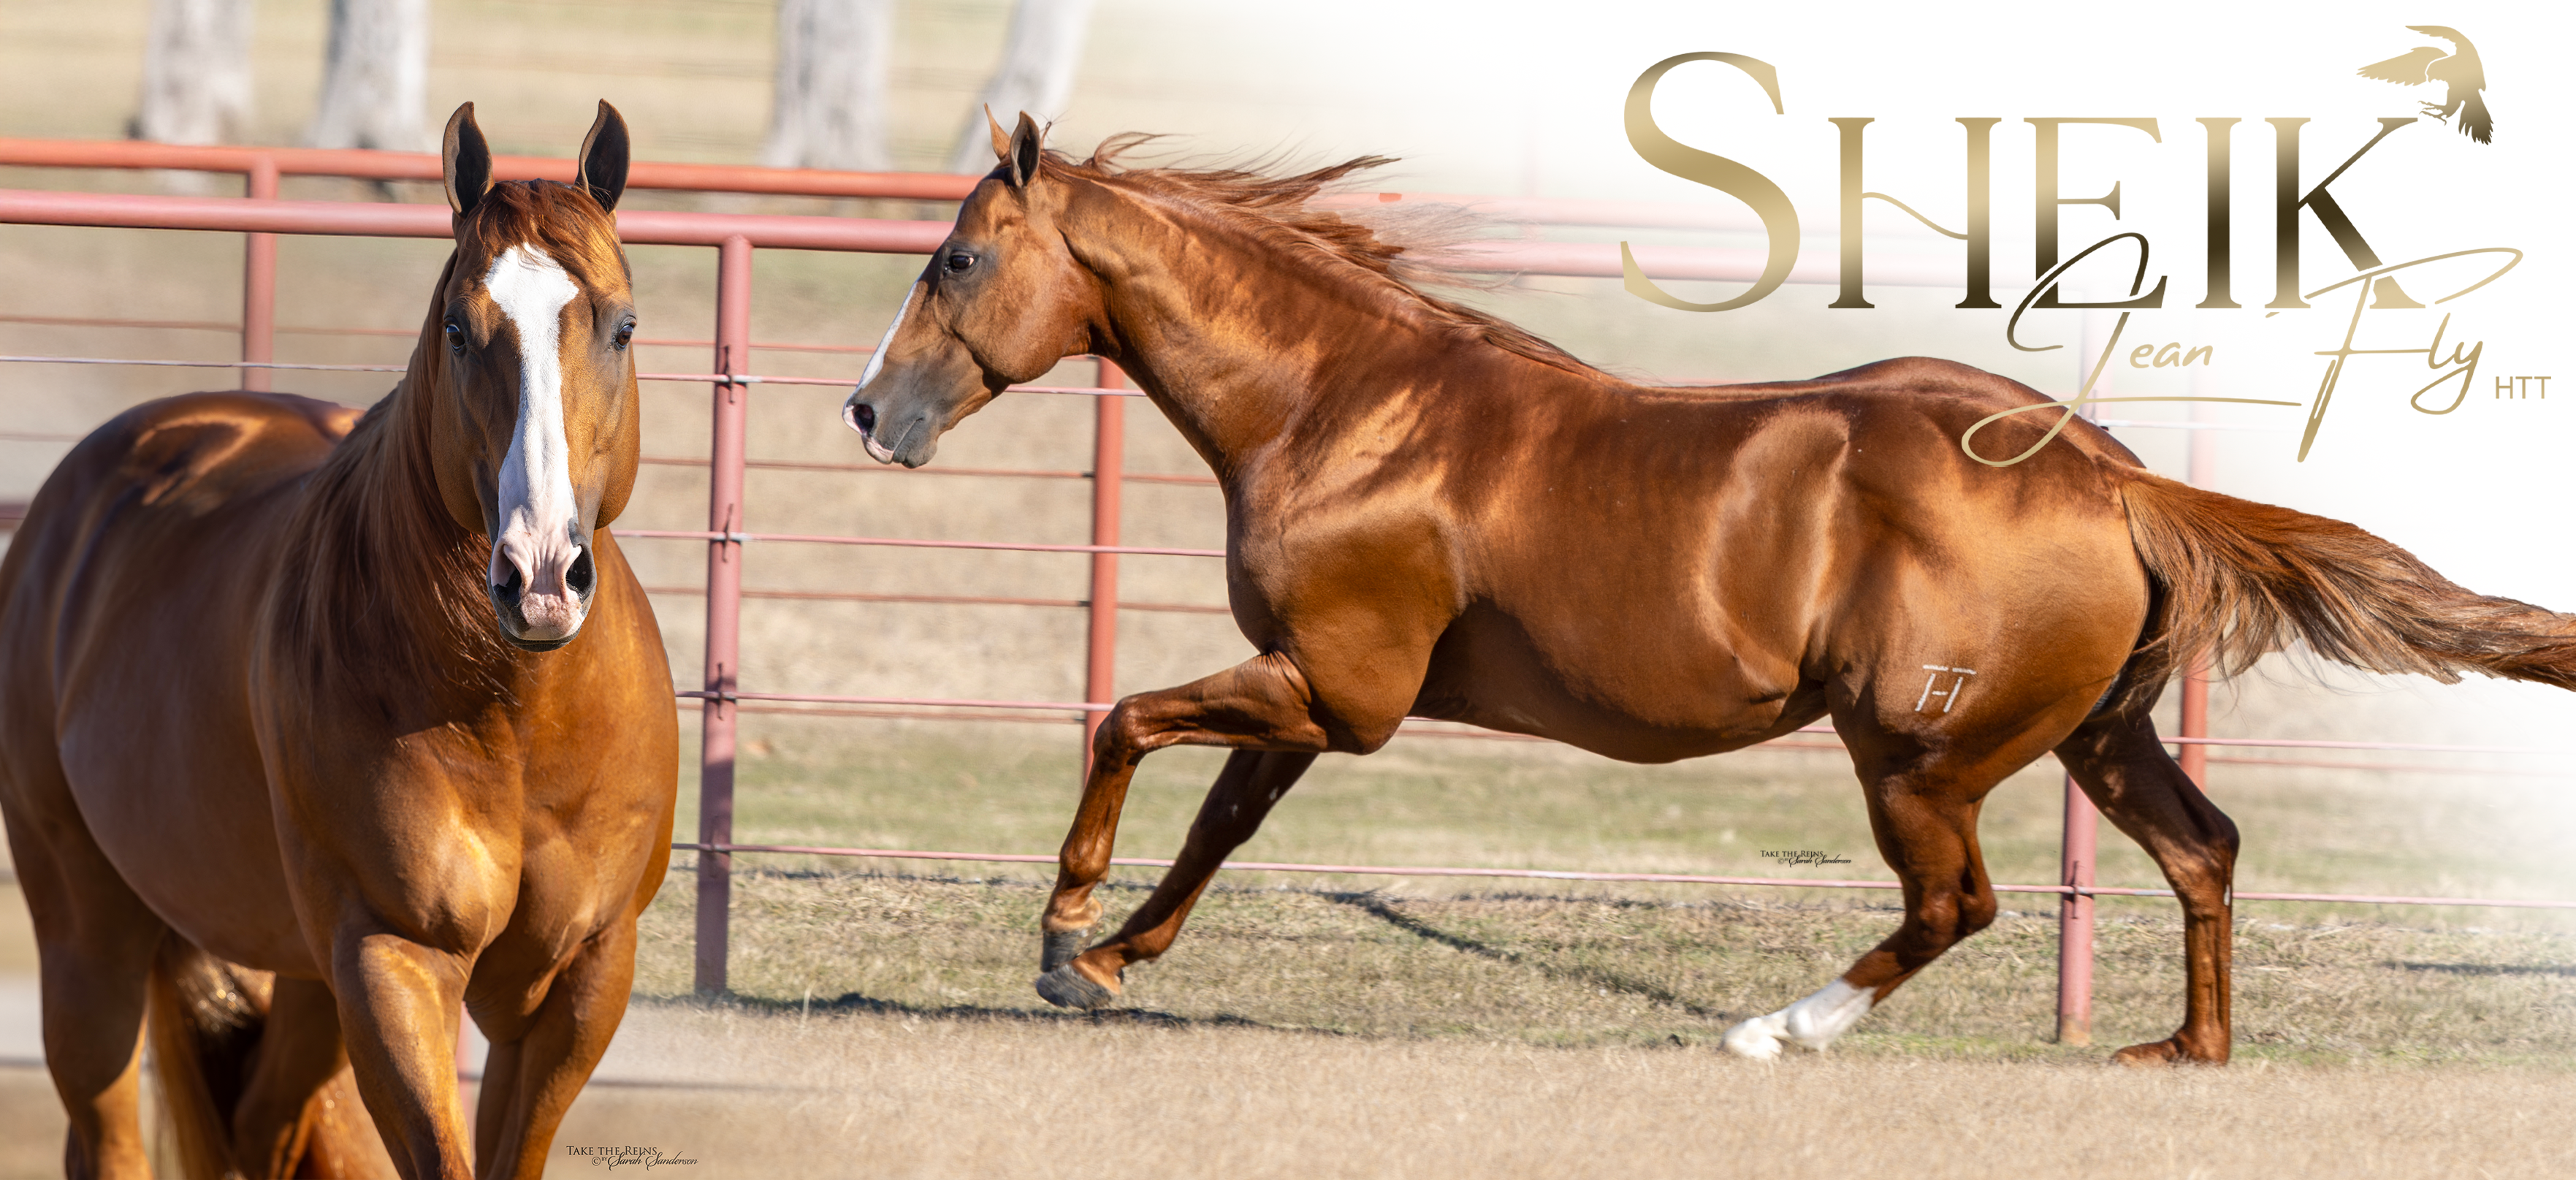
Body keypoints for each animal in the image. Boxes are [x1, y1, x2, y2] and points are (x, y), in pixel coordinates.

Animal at [0, 102, 676, 1177]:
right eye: (457, 328)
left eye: (622, 325)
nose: (536, 575)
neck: (515, 719)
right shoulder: (390, 960)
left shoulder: (580, 977)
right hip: (91, 938)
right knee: (107, 1132)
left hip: (300, 980)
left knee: (259, 1123)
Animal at [842, 113, 2576, 1066]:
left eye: (956, 261)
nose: (870, 411)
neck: (1342, 406)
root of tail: (2108, 476)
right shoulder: (1318, 695)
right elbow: (1217, 824)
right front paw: (1104, 964)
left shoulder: (1339, 689)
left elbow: (1124, 721)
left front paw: (1064, 931)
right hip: (2093, 733)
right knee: (2201, 849)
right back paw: (2182, 1051)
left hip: (1917, 755)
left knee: (1954, 903)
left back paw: (1776, 1029)